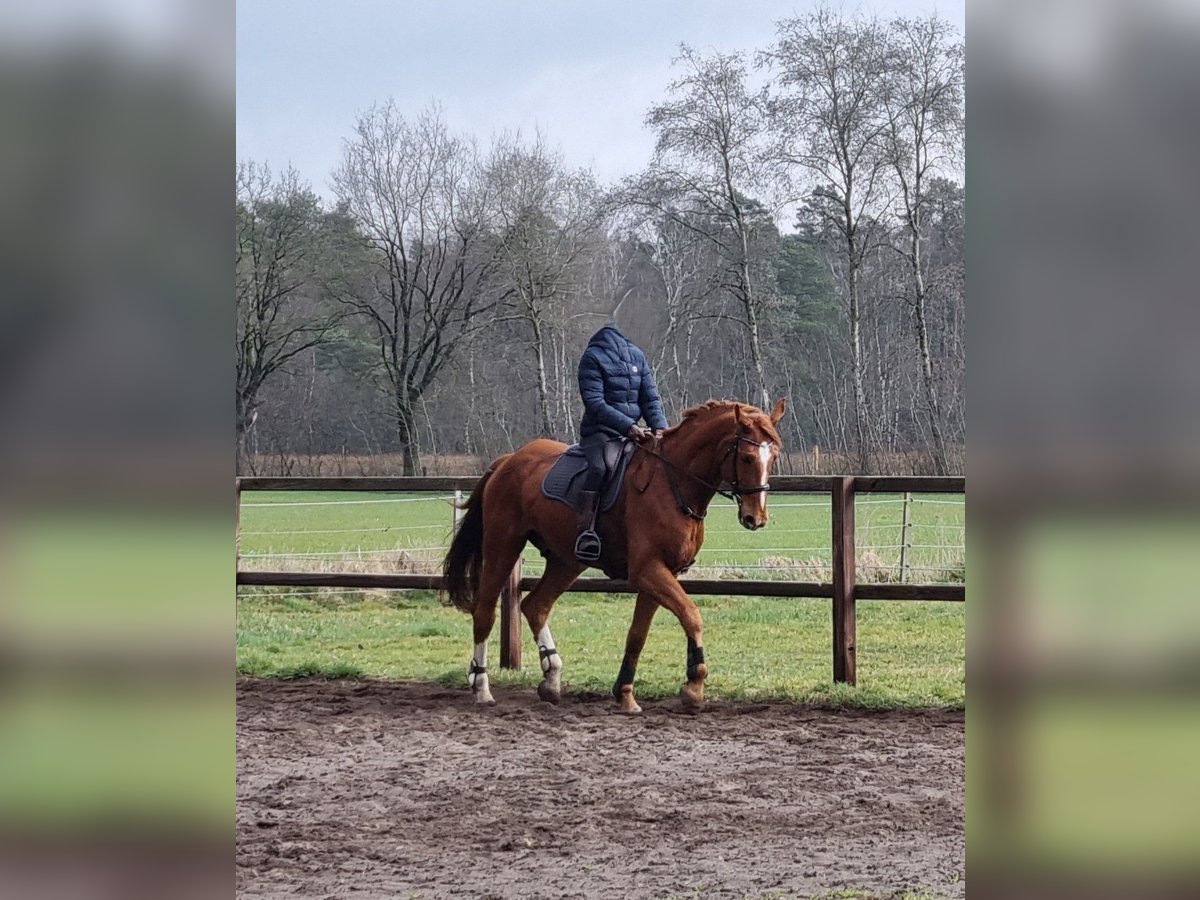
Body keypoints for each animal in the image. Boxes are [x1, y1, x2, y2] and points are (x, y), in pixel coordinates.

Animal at [442, 398, 787, 713]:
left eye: (773, 457)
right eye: (747, 458)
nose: (756, 518)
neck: (674, 483)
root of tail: (509, 460)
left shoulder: (662, 572)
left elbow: (637, 634)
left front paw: (625, 693)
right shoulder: (648, 571)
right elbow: (691, 615)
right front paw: (694, 685)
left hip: (566, 561)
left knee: (536, 606)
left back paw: (551, 678)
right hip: (504, 545)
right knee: (485, 611)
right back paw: (481, 686)